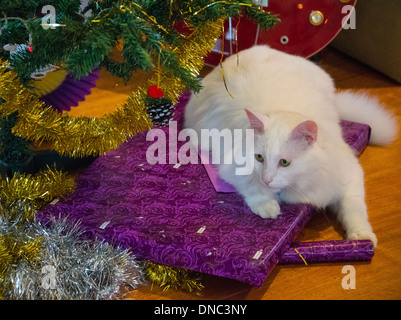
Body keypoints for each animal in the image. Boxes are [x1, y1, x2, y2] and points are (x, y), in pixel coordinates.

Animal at [184, 46, 396, 249]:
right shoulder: (231, 165)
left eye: (284, 162)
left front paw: (362, 238)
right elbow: (252, 186)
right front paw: (268, 206)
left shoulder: (350, 175)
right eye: (259, 158)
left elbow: (355, 210)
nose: (267, 179)